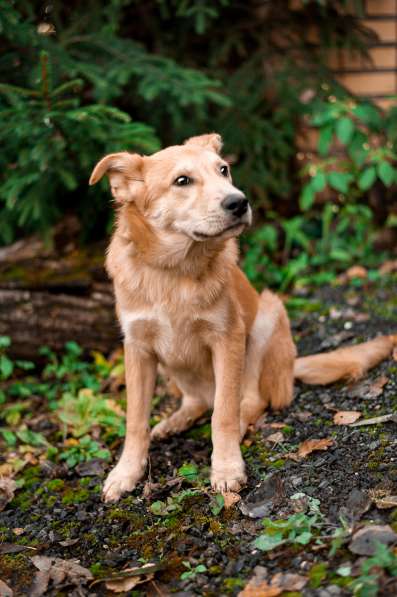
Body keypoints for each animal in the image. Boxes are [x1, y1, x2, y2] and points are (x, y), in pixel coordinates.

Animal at [89, 133, 396, 500]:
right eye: (182, 180)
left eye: (223, 170)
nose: (239, 202)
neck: (173, 273)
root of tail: (291, 367)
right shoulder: (137, 348)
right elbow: (135, 420)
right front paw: (126, 473)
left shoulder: (228, 337)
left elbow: (223, 411)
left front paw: (226, 467)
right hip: (171, 365)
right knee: (197, 400)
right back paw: (175, 421)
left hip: (268, 316)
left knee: (250, 401)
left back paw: (235, 426)